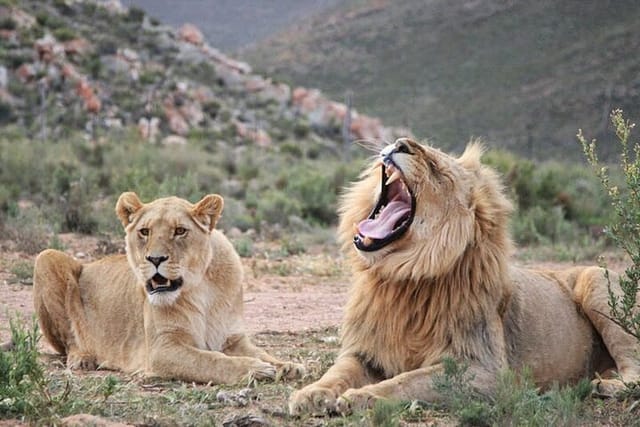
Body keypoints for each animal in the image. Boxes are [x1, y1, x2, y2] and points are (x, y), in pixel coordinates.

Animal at [32, 193, 304, 384]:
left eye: (180, 231)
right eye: (144, 231)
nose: (155, 259)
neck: (200, 286)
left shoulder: (232, 339)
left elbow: (260, 352)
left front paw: (286, 366)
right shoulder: (162, 348)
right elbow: (211, 360)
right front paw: (255, 369)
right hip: (46, 257)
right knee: (68, 343)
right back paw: (83, 358)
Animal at [288, 139, 640, 416]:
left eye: (435, 169)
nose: (400, 143)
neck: (403, 276)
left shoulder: (485, 369)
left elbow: (407, 382)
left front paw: (363, 397)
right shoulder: (365, 351)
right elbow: (339, 371)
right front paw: (311, 394)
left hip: (596, 281)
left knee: (633, 367)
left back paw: (606, 386)